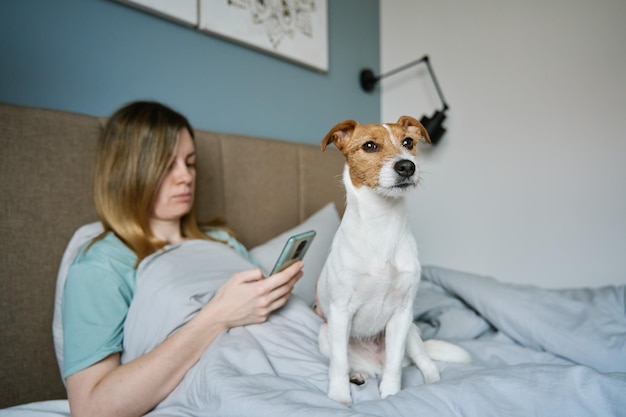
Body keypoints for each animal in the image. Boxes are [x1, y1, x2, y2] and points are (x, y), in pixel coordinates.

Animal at [312, 114, 468, 404]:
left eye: (408, 143)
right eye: (370, 146)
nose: (407, 166)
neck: (381, 223)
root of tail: (373, 363)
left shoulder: (401, 313)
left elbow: (393, 366)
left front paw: (392, 395)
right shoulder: (340, 312)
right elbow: (338, 363)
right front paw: (339, 397)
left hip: (412, 333)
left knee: (423, 363)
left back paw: (432, 383)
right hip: (325, 334)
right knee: (350, 363)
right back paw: (358, 374)